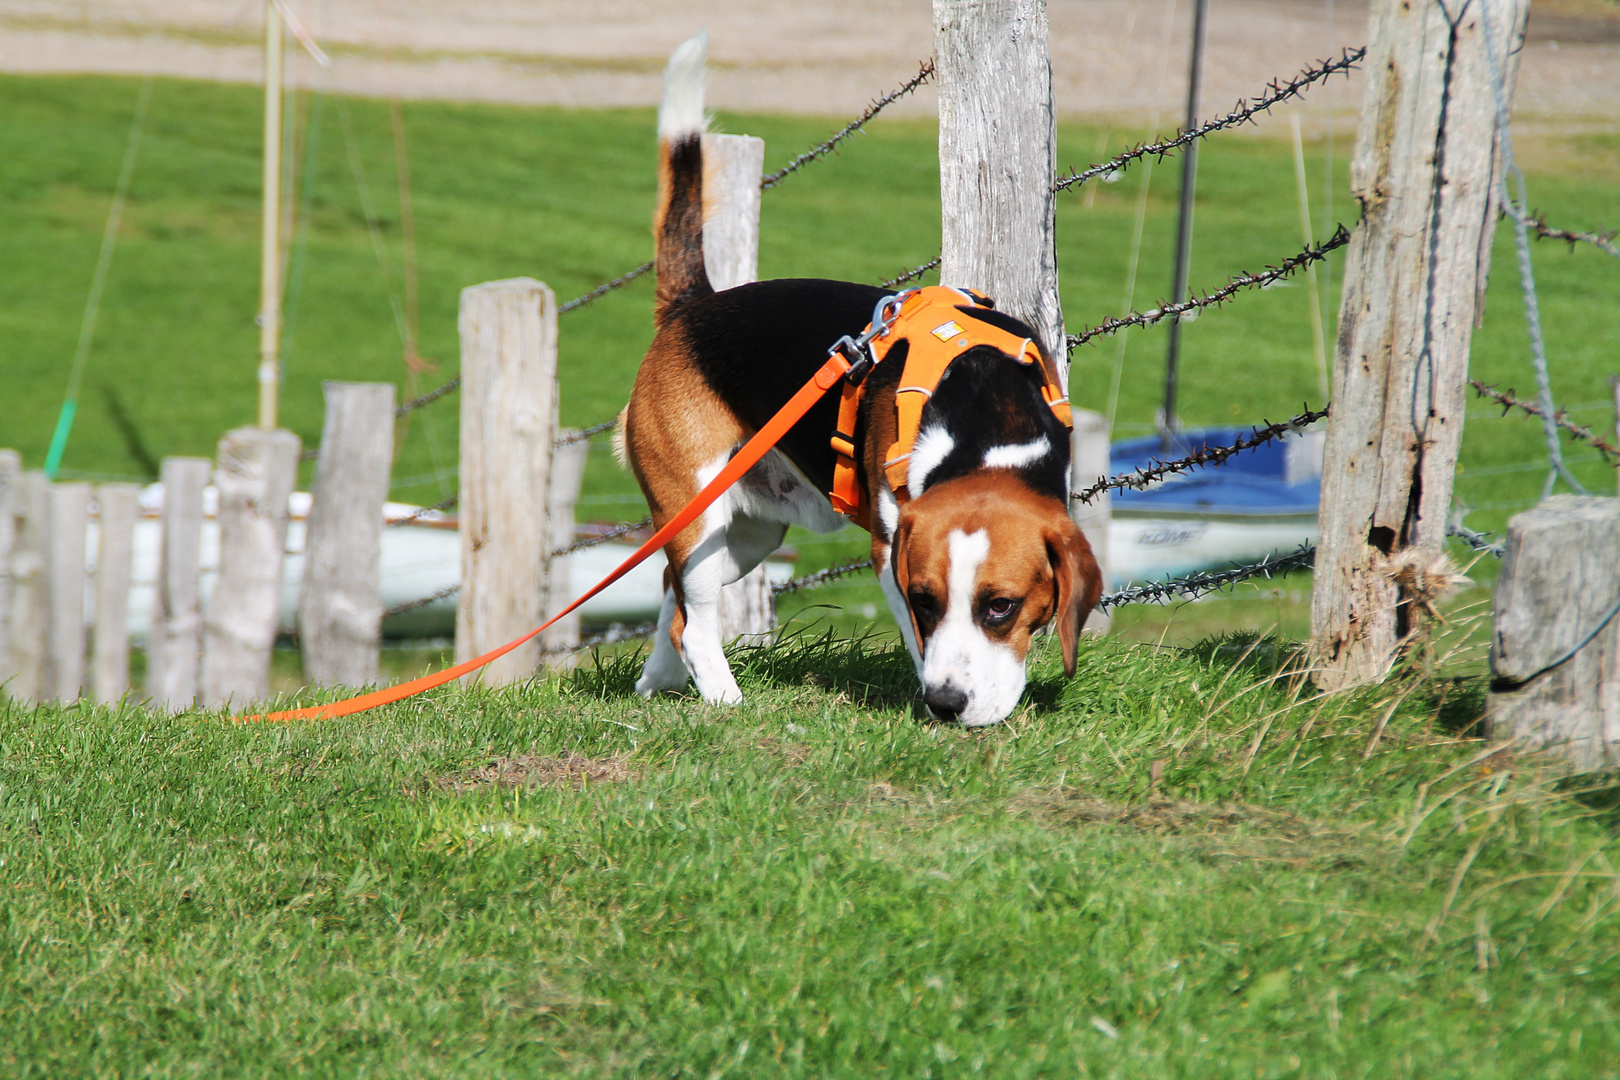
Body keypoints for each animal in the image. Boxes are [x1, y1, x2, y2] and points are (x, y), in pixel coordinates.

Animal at [615, 35, 1101, 725]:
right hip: (697, 511)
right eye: (924, 599)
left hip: (748, 534)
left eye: (1001, 607)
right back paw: (725, 698)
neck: (983, 411)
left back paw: (659, 677)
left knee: (670, 588)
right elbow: (920, 640)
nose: (947, 704)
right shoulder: (889, 554)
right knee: (694, 622)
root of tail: (694, 307)